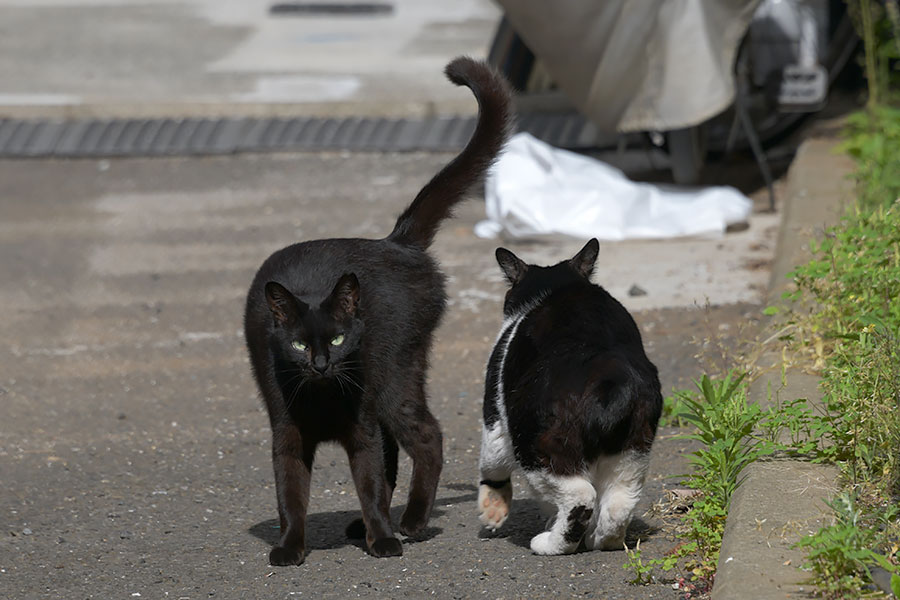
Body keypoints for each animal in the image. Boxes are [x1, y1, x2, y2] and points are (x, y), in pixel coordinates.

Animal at [244, 57, 512, 568]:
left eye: (336, 338)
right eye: (299, 344)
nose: (321, 364)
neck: (322, 395)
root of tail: (396, 242)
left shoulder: (361, 423)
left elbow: (367, 482)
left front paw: (384, 540)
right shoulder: (287, 430)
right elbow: (290, 493)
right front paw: (289, 547)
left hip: (393, 377)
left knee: (427, 437)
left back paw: (410, 521)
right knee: (397, 450)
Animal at [478, 238, 660, 552]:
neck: (557, 285)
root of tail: (611, 380)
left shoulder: (495, 417)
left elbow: (492, 463)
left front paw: (493, 508)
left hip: (536, 446)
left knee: (580, 496)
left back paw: (552, 544)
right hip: (633, 450)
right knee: (619, 502)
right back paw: (602, 540)